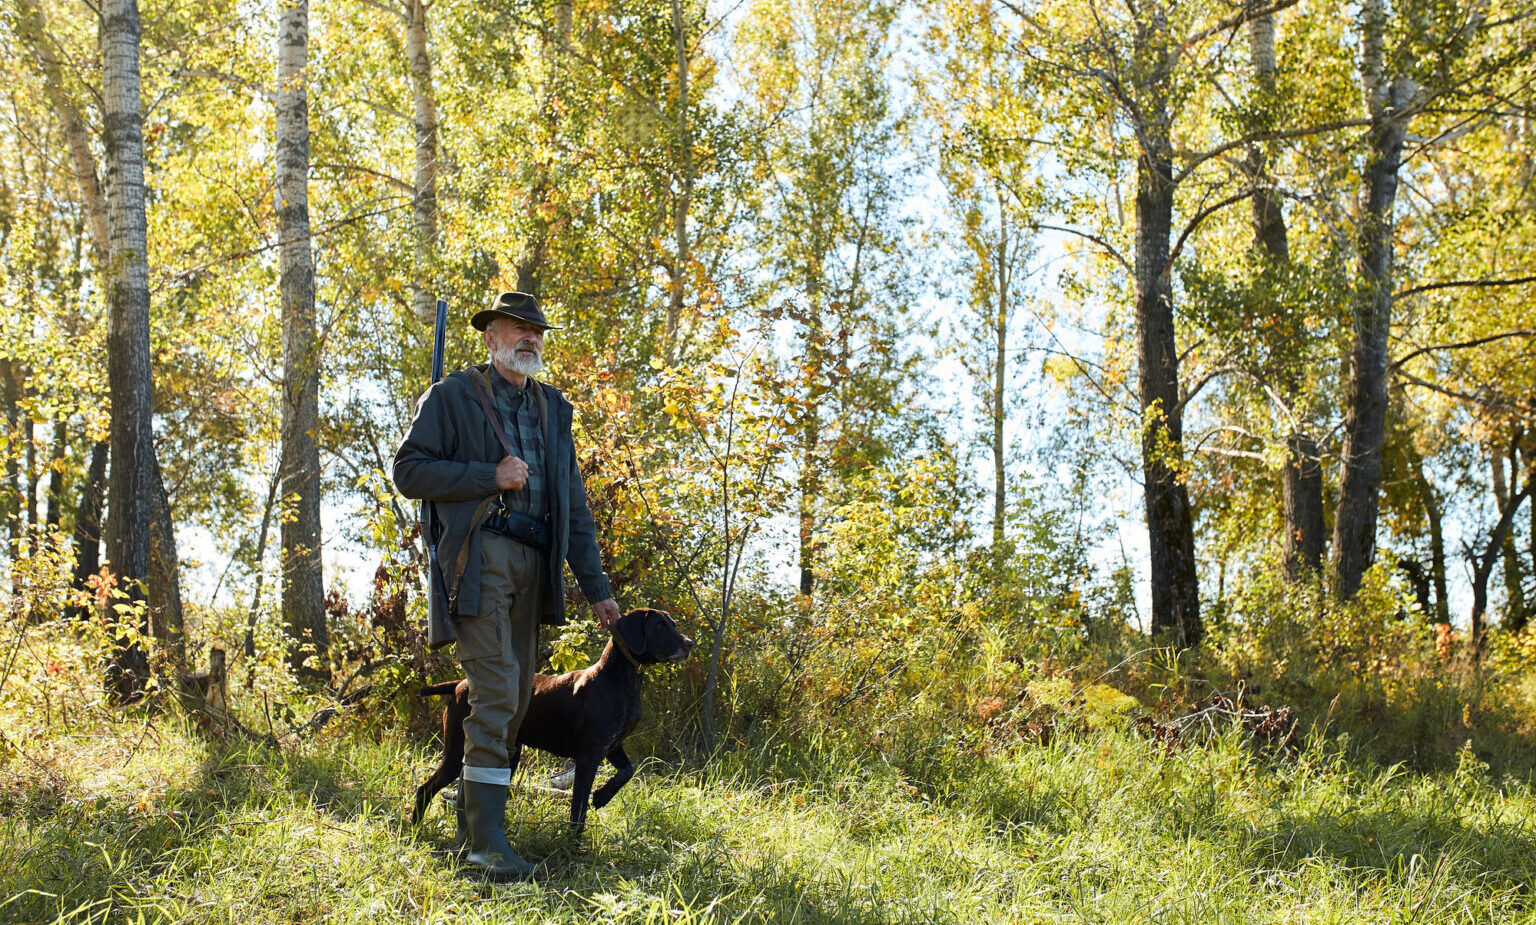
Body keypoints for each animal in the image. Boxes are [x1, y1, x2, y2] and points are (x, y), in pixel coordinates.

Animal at [411, 605, 694, 835]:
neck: (620, 678)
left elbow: (627, 771)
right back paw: (415, 830)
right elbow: (578, 807)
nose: (690, 643)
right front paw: (574, 845)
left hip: (506, 754)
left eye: (672, 624)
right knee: (425, 789)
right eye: (660, 625)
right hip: (456, 751)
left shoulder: (612, 746)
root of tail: (460, 684)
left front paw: (602, 796)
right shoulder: (589, 755)